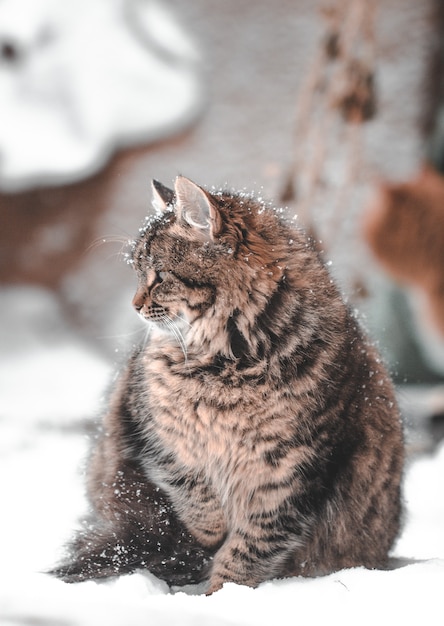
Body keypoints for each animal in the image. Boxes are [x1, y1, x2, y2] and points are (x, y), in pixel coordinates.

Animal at [53, 174, 406, 588]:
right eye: (138, 274)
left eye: (159, 276)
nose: (135, 305)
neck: (228, 367)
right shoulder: (151, 432)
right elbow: (191, 487)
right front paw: (210, 531)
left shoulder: (294, 473)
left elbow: (247, 551)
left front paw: (224, 594)